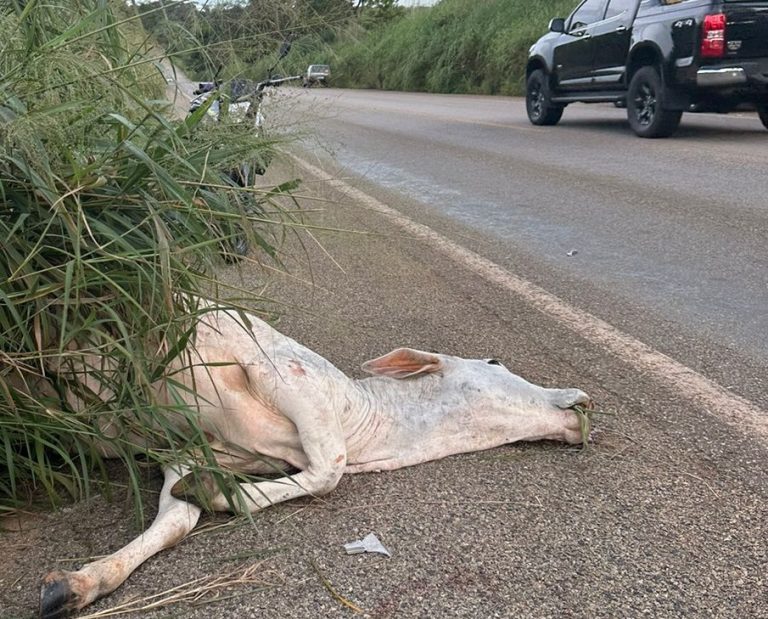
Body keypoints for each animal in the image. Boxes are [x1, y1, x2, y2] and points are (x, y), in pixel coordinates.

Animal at [39, 307, 592, 618]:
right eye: (495, 362)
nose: (582, 401)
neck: (361, 415)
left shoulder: (192, 451)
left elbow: (176, 517)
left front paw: (76, 584)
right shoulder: (279, 367)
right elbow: (330, 469)